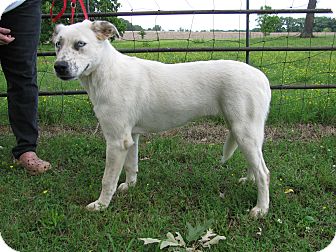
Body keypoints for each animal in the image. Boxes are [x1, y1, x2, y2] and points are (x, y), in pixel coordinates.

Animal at [53, 20, 272, 219]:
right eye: (57, 44)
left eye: (80, 44)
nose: (59, 66)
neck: (106, 72)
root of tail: (261, 76)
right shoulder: (131, 137)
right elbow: (131, 166)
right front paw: (129, 187)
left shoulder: (116, 141)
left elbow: (107, 180)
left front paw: (101, 205)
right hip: (244, 133)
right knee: (256, 165)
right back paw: (249, 181)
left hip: (244, 132)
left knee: (264, 173)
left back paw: (261, 209)